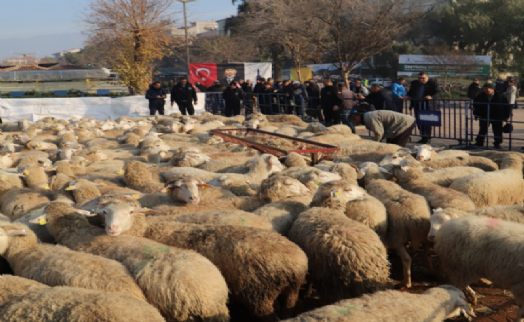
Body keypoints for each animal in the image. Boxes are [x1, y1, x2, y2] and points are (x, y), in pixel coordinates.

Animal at [101, 201, 310, 322]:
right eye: (105, 212)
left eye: (130, 212)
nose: (112, 228)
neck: (149, 228)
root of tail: (297, 263)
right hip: (290, 290)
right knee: (289, 307)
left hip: (259, 293)